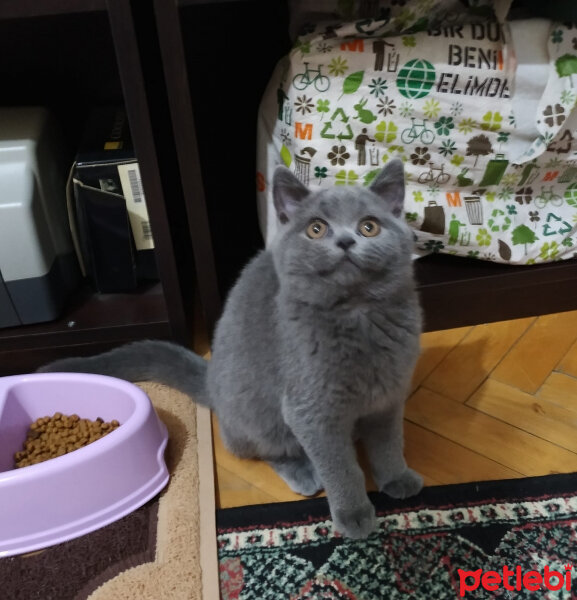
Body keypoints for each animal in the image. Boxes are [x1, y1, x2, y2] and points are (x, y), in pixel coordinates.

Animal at [38, 159, 420, 540]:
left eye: (369, 226)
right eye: (316, 229)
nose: (344, 241)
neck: (359, 318)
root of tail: (212, 382)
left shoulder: (389, 394)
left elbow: (388, 443)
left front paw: (397, 478)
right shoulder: (312, 411)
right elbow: (340, 466)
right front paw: (354, 514)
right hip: (259, 412)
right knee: (257, 446)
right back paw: (303, 472)